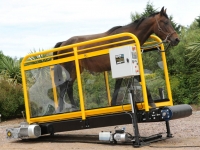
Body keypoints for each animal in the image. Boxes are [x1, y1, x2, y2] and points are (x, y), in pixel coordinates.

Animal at [52, 7, 180, 112]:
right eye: (165, 22)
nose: (176, 39)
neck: (126, 39)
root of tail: (63, 43)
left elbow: (118, 86)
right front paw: (152, 104)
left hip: (77, 70)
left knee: (67, 87)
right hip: (71, 70)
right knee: (66, 88)